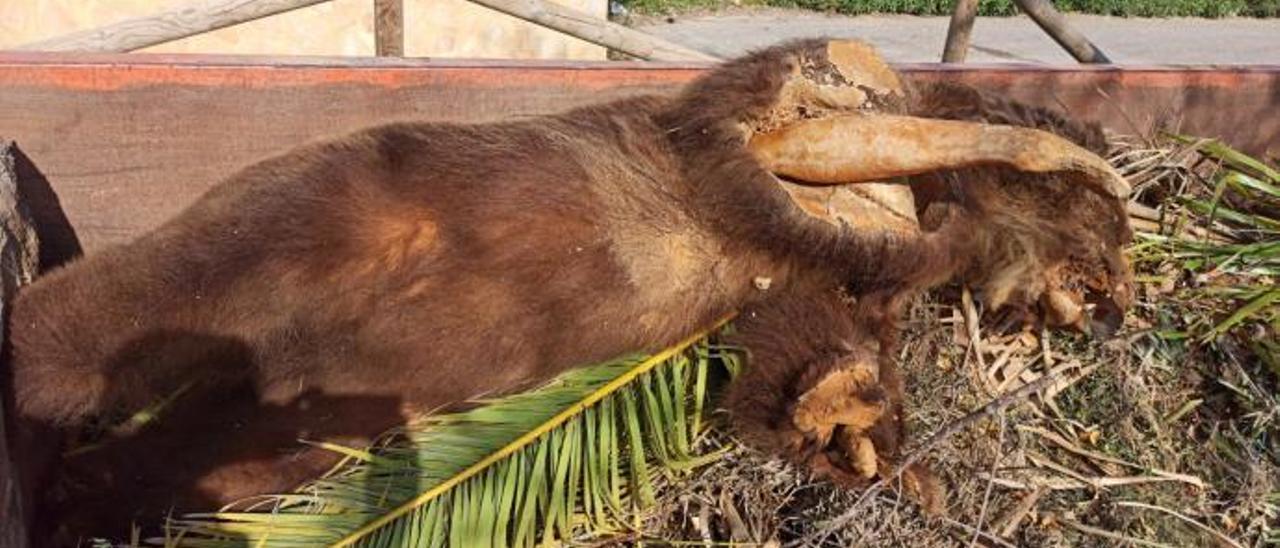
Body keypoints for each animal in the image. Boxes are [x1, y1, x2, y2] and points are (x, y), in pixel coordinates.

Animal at [7, 39, 1131, 542]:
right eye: (1099, 224)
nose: (1117, 295)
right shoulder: (740, 145)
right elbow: (801, 139)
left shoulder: (800, 288)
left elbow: (794, 345)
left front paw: (856, 426)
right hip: (325, 218)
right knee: (146, 295)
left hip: (306, 418)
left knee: (204, 450)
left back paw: (80, 500)